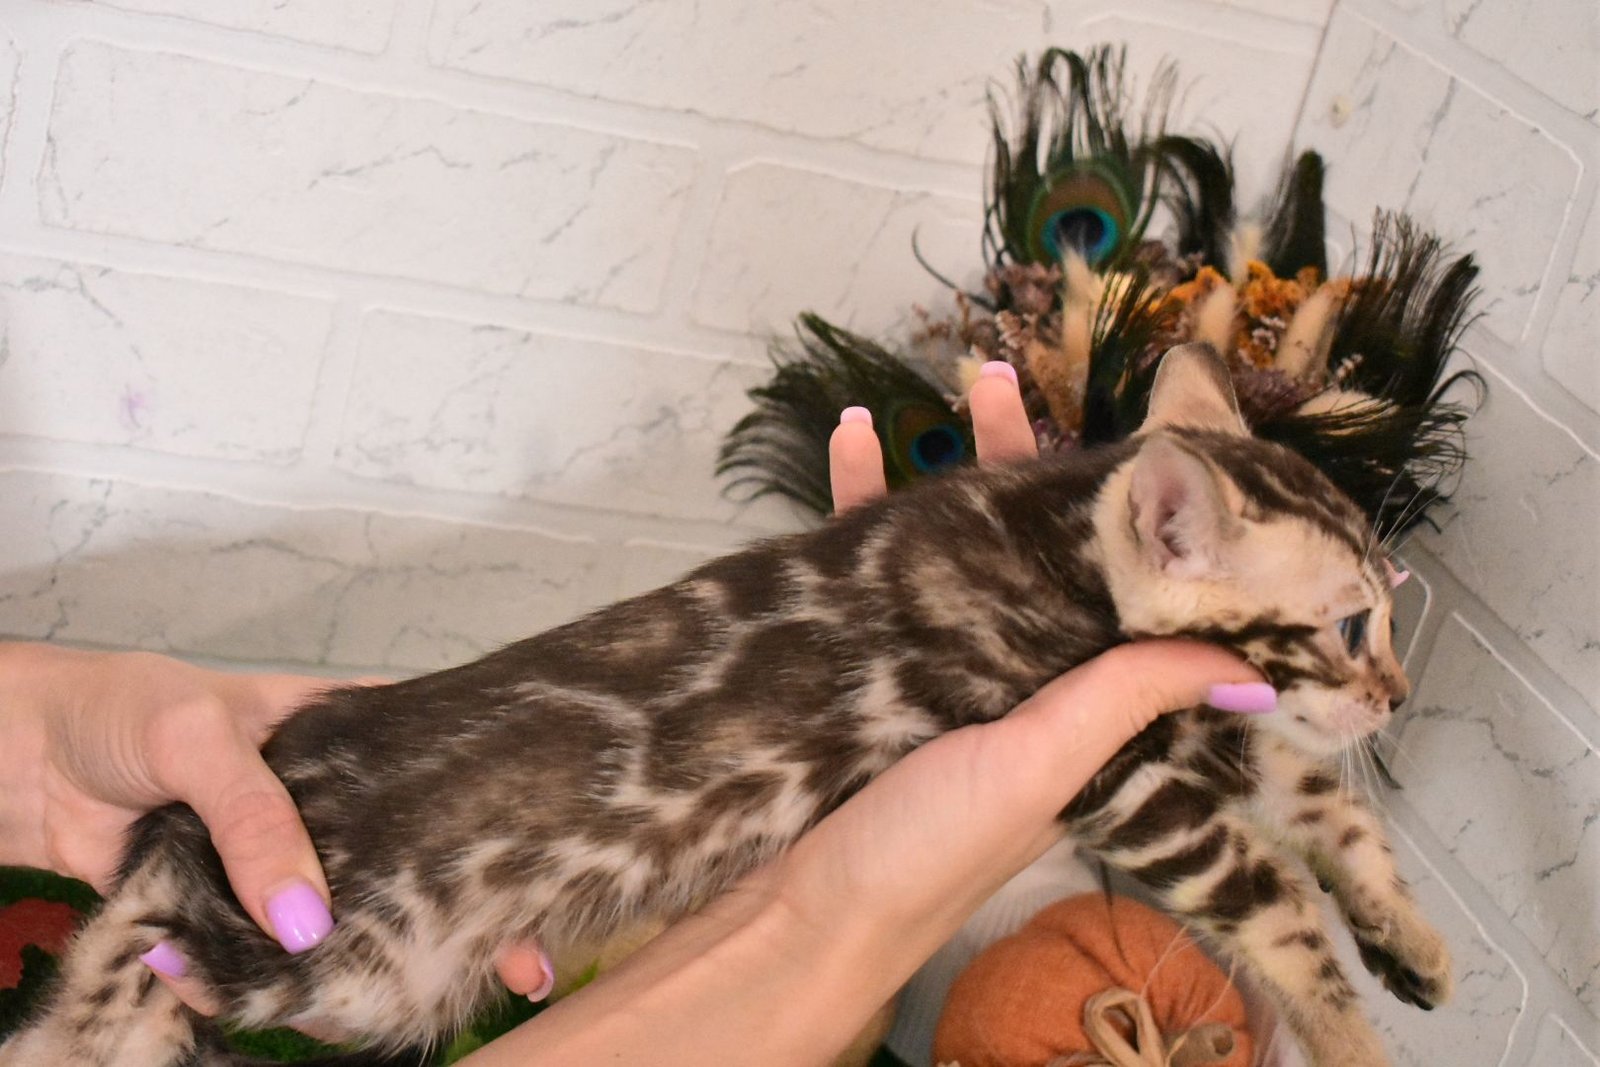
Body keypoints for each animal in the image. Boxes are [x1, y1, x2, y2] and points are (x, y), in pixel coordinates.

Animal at [1, 343, 1450, 1067]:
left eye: (1390, 610)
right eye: (1350, 620)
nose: (1397, 692)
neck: (1058, 529)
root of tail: (193, 822)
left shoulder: (1210, 724)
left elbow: (1329, 811)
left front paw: (1412, 941)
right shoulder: (1117, 762)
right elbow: (1276, 894)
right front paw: (1348, 1035)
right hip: (284, 941)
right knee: (112, 961)